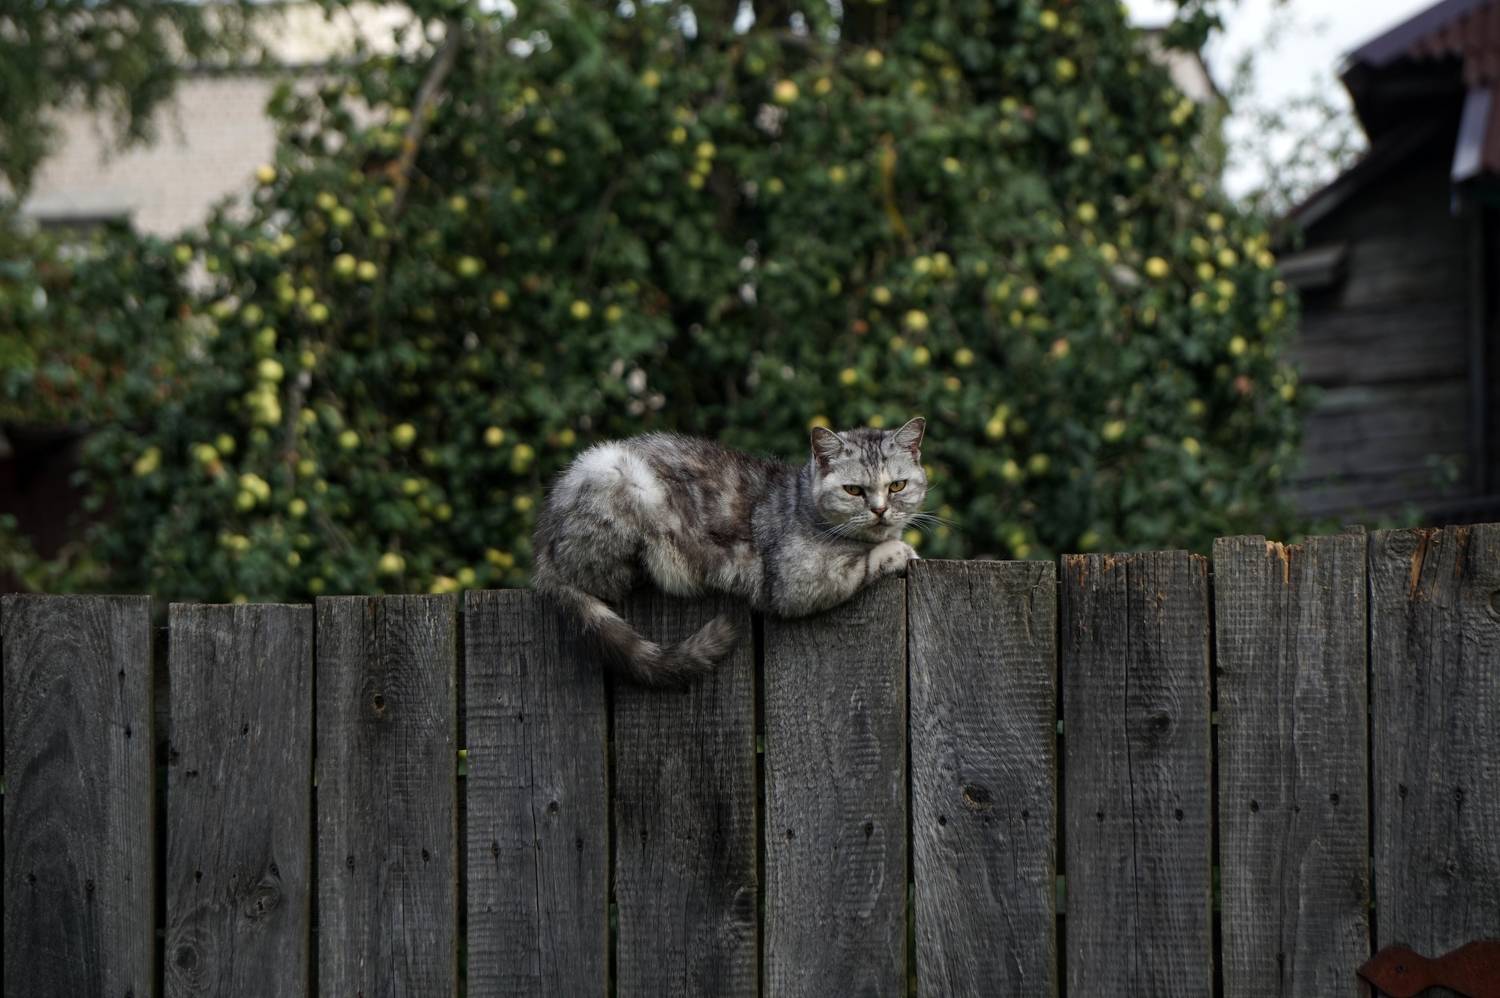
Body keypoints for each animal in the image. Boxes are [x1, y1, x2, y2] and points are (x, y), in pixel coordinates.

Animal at [532, 417, 928, 687]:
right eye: (853, 490)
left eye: (897, 485)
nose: (880, 510)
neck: (803, 502)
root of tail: (544, 545)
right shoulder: (800, 582)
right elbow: (870, 559)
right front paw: (901, 551)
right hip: (621, 477)